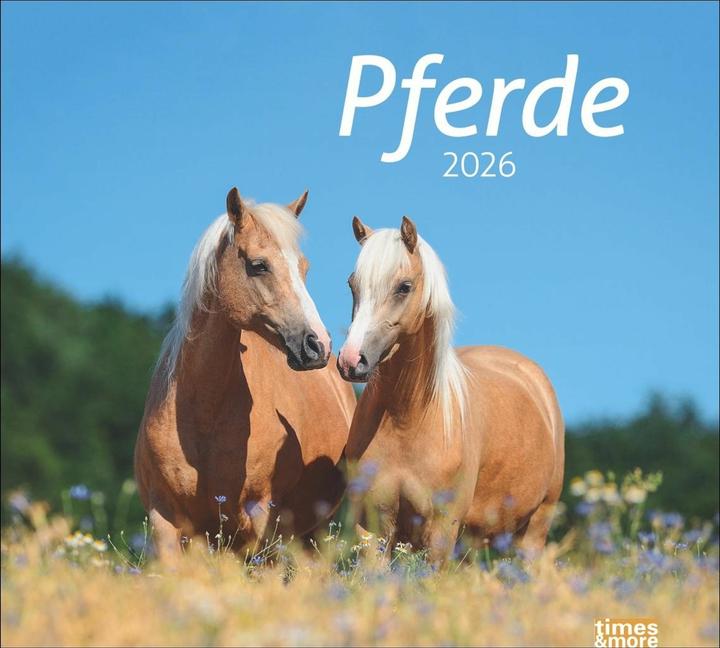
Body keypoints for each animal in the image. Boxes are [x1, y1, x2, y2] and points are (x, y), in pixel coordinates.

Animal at [134, 188, 355, 560]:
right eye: (258, 265)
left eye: (304, 268)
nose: (318, 345)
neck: (202, 415)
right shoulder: (166, 523)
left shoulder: (260, 522)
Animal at [337, 215, 564, 564]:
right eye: (353, 285)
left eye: (404, 287)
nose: (351, 361)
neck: (406, 420)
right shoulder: (372, 528)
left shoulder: (441, 531)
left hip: (534, 531)